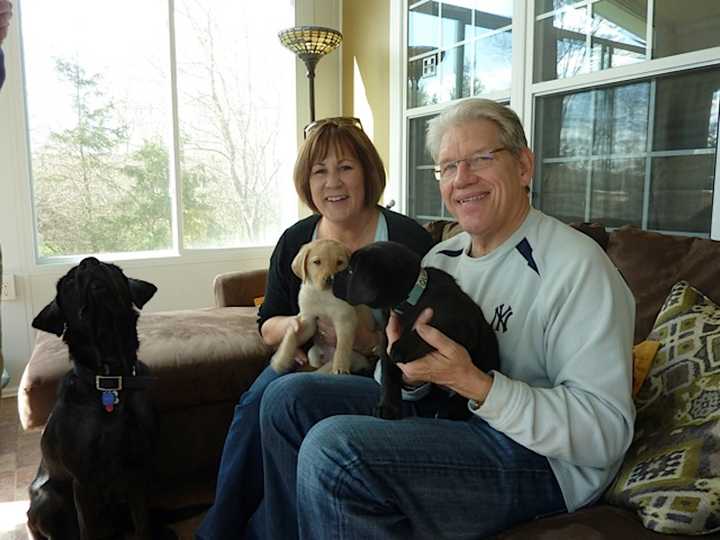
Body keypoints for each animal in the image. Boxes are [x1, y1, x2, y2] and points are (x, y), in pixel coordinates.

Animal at [27, 258, 159, 540]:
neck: (110, 381)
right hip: (48, 498)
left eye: (113, 268)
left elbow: (143, 523)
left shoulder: (137, 469)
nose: (90, 262)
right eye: (67, 281)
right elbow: (89, 530)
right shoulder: (84, 480)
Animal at [272, 238, 376, 374]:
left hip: (353, 356)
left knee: (325, 367)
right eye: (317, 262)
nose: (331, 279)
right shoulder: (308, 321)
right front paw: (281, 359)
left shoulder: (345, 320)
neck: (324, 295)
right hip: (313, 353)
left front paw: (340, 367)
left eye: (340, 262)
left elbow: (343, 345)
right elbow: (291, 335)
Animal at [330, 242, 496, 422]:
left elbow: (424, 331)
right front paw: (388, 407)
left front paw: (400, 349)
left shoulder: (459, 325)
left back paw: (453, 410)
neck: (409, 301)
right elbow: (388, 376)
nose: (330, 279)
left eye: (350, 271)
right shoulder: (386, 338)